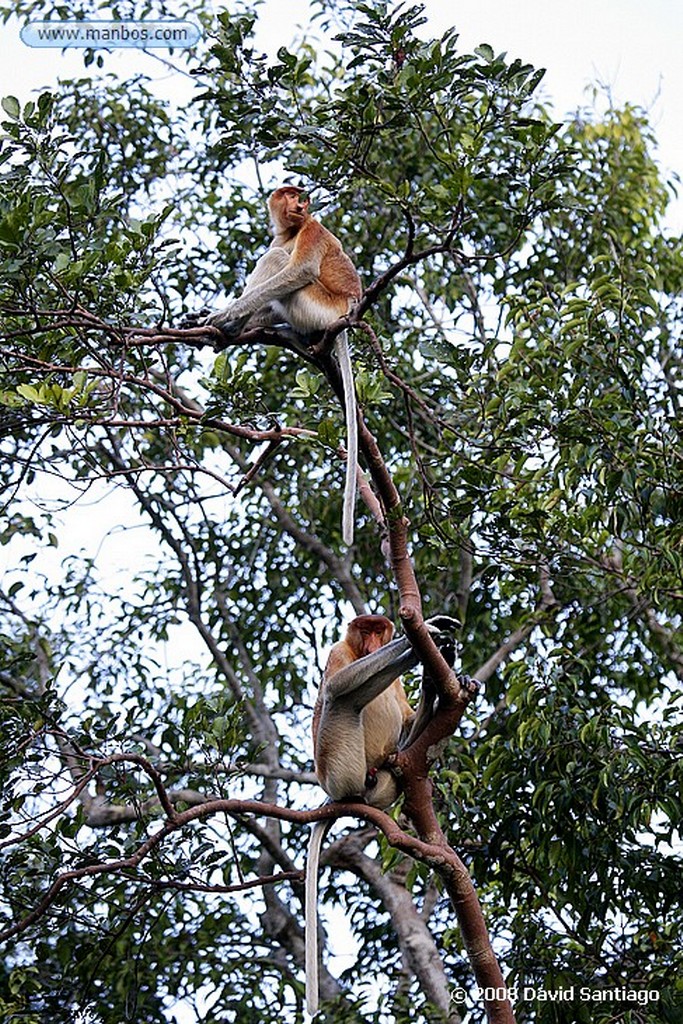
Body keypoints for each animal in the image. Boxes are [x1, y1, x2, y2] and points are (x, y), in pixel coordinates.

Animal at [205, 187, 362, 548]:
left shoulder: (312, 229)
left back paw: (233, 325)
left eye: (303, 199)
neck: (292, 230)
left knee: (277, 262)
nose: (301, 205)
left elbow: (299, 270)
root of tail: (348, 309)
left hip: (320, 307)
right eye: (292, 196)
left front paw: (222, 316)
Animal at [309, 614, 458, 1015]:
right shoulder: (338, 651)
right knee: (343, 698)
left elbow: (406, 719)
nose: (375, 644)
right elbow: (338, 684)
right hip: (338, 762)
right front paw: (427, 632)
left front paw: (436, 667)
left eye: (380, 629)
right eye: (366, 630)